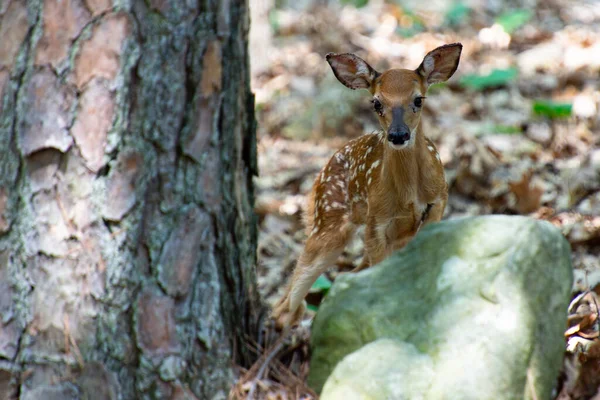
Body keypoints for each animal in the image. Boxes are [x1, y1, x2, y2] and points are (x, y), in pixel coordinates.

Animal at [274, 43, 464, 328]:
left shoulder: (438, 202)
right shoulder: (377, 220)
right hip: (328, 220)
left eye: (418, 99)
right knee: (288, 303)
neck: (409, 193)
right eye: (376, 102)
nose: (398, 135)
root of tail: (318, 176)